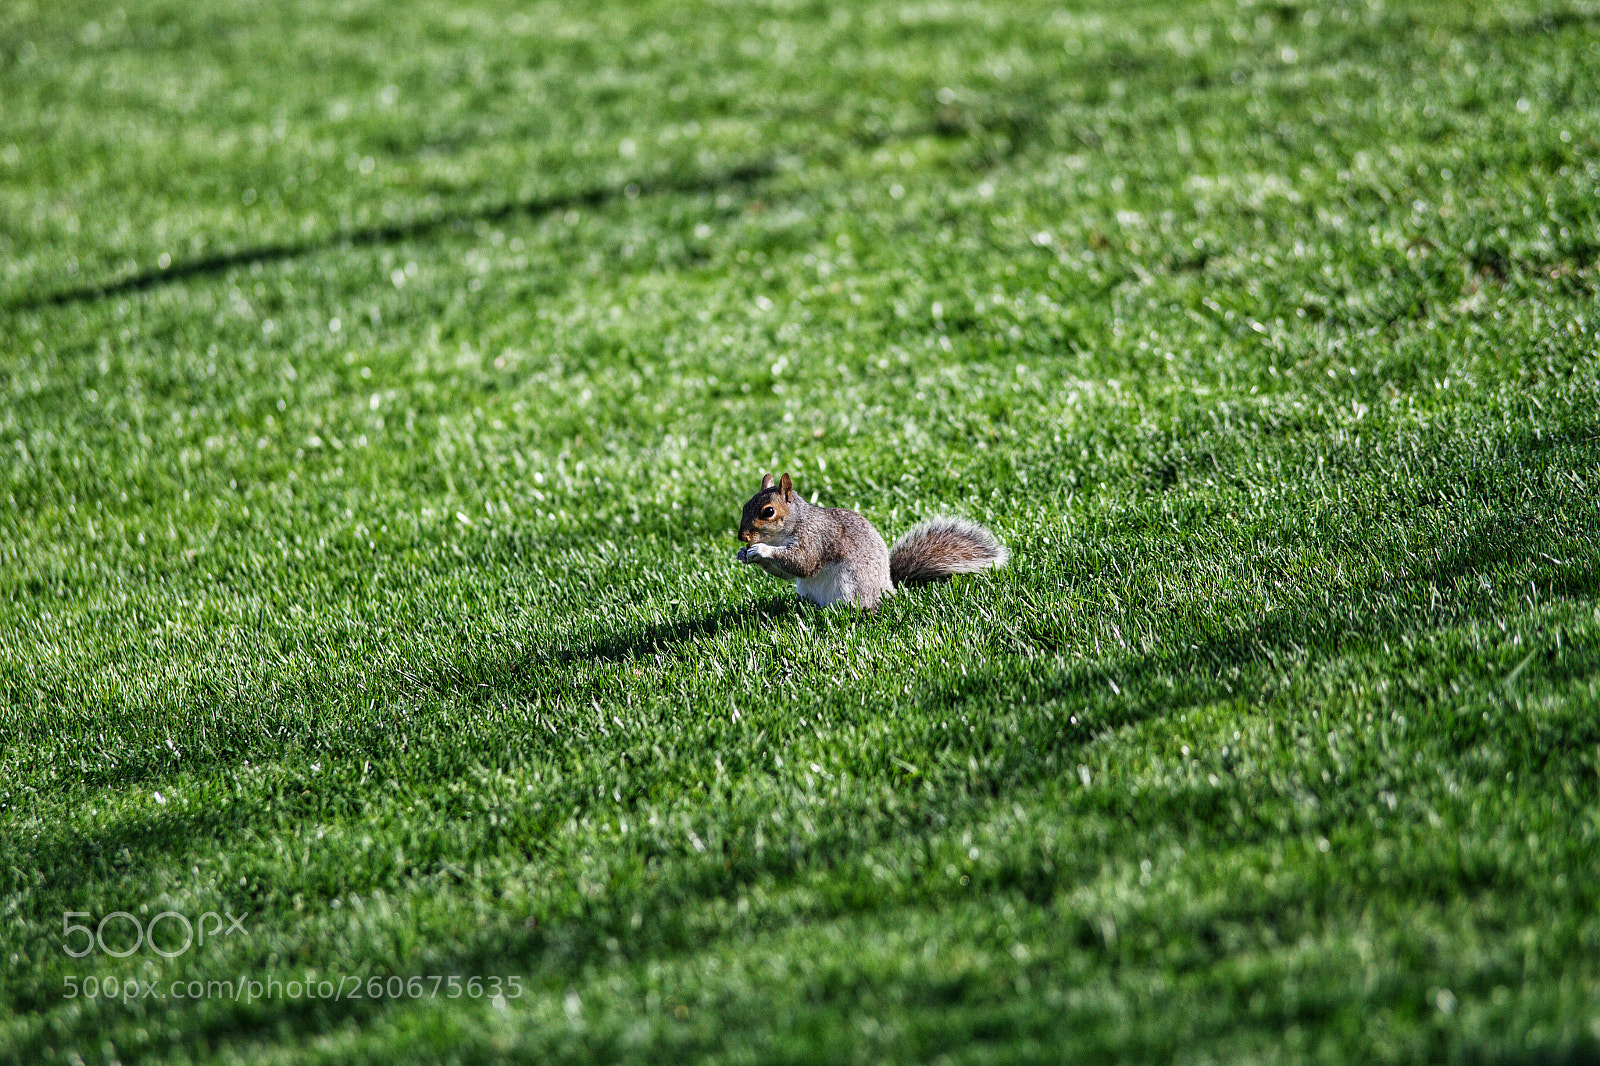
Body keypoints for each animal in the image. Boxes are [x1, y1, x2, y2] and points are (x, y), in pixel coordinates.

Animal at [734, 472, 1008, 611]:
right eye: (744, 505)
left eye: (768, 512)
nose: (742, 537)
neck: (789, 528)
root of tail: (889, 587)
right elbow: (788, 573)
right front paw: (743, 554)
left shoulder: (817, 537)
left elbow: (802, 562)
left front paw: (761, 550)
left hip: (852, 583)